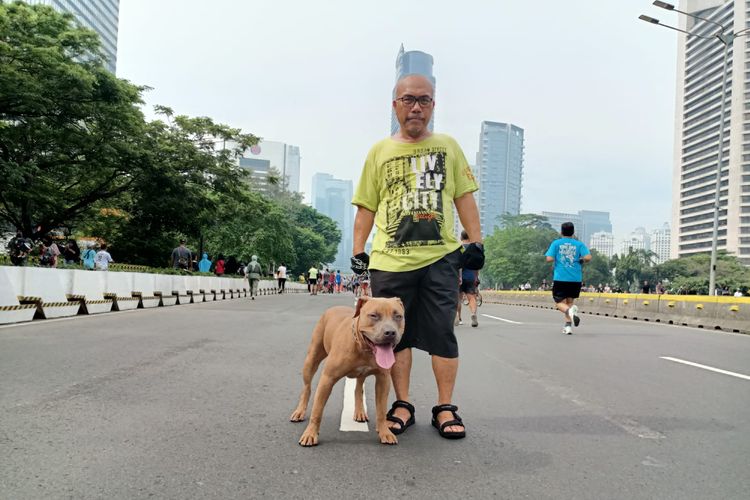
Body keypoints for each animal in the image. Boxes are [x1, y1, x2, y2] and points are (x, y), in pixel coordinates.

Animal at [290, 294, 406, 448]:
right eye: (374, 315)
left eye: (398, 316)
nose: (390, 332)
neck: (364, 349)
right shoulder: (327, 379)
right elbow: (317, 410)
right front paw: (310, 433)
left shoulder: (383, 380)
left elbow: (381, 410)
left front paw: (385, 432)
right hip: (311, 360)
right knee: (307, 388)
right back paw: (300, 411)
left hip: (361, 375)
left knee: (358, 389)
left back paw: (360, 411)